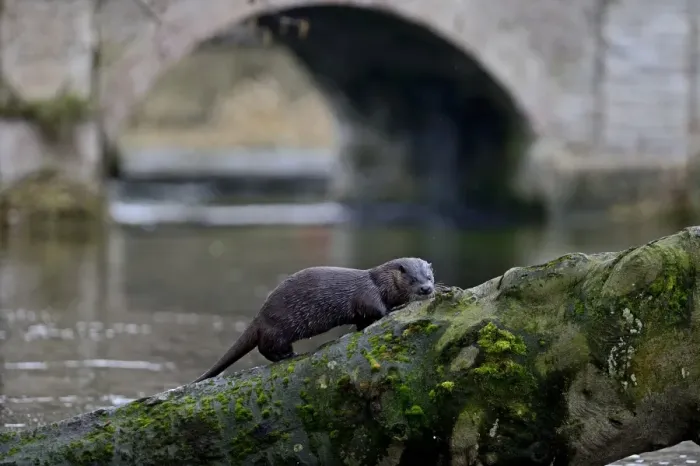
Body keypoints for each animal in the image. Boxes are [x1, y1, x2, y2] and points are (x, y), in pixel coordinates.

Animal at [191, 257, 435, 383]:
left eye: (429, 277)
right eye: (413, 279)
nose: (427, 289)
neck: (380, 282)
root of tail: (260, 316)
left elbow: (361, 322)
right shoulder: (369, 293)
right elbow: (378, 310)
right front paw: (397, 308)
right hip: (277, 328)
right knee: (266, 347)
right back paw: (288, 355)